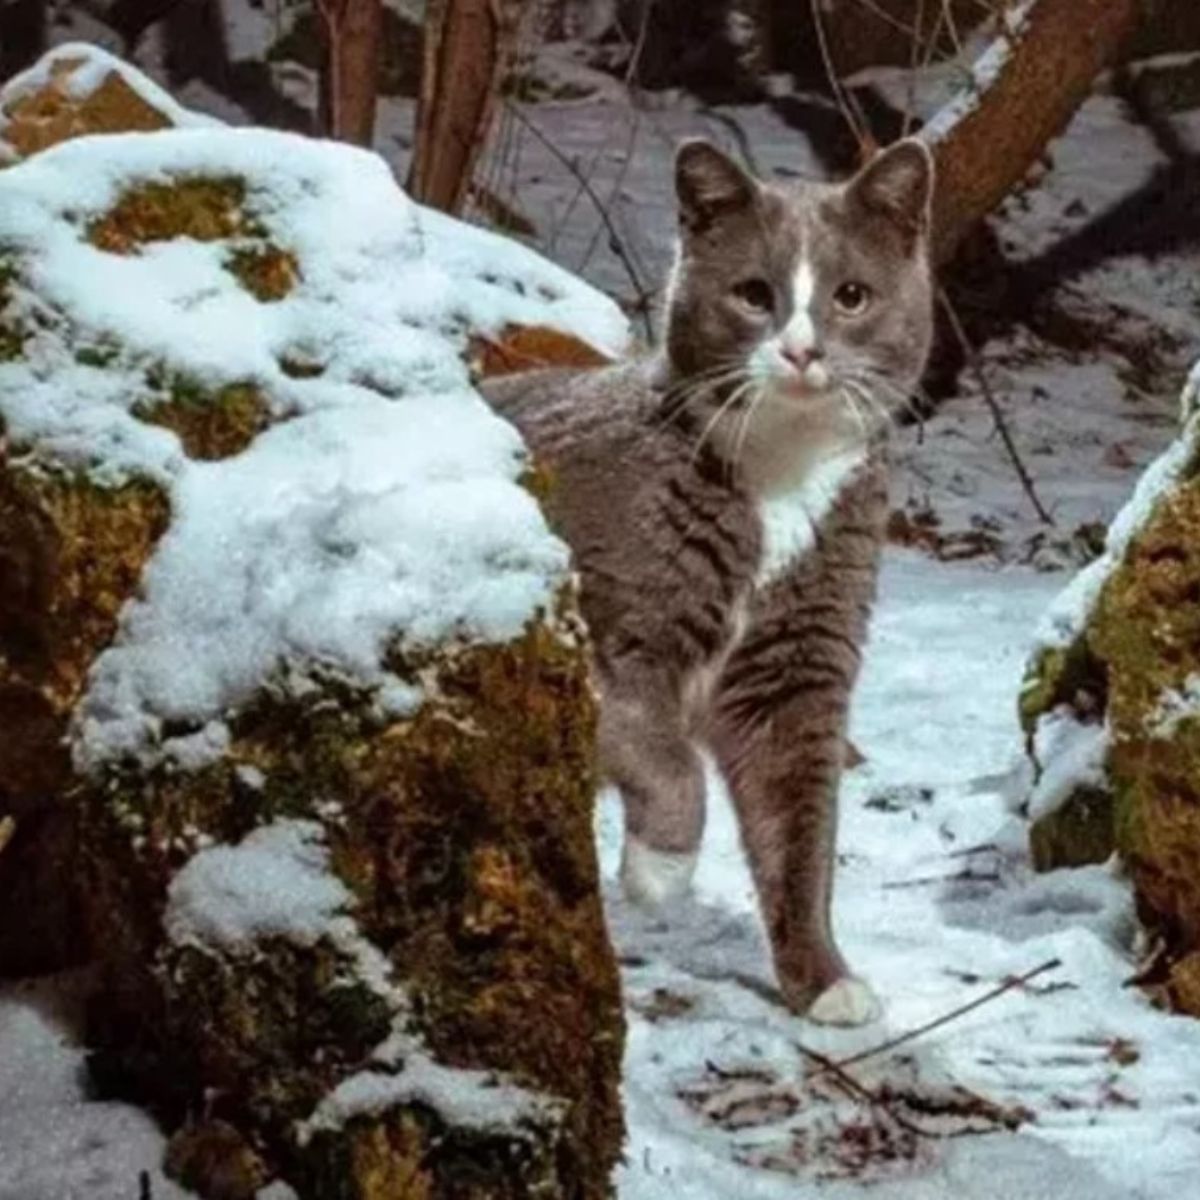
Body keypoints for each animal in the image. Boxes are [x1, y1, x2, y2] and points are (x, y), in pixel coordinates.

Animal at [482, 138, 931, 1022]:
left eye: (852, 296)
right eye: (754, 294)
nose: (801, 350)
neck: (781, 477)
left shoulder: (800, 661)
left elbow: (801, 831)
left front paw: (826, 981)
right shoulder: (603, 620)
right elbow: (662, 751)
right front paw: (660, 872)